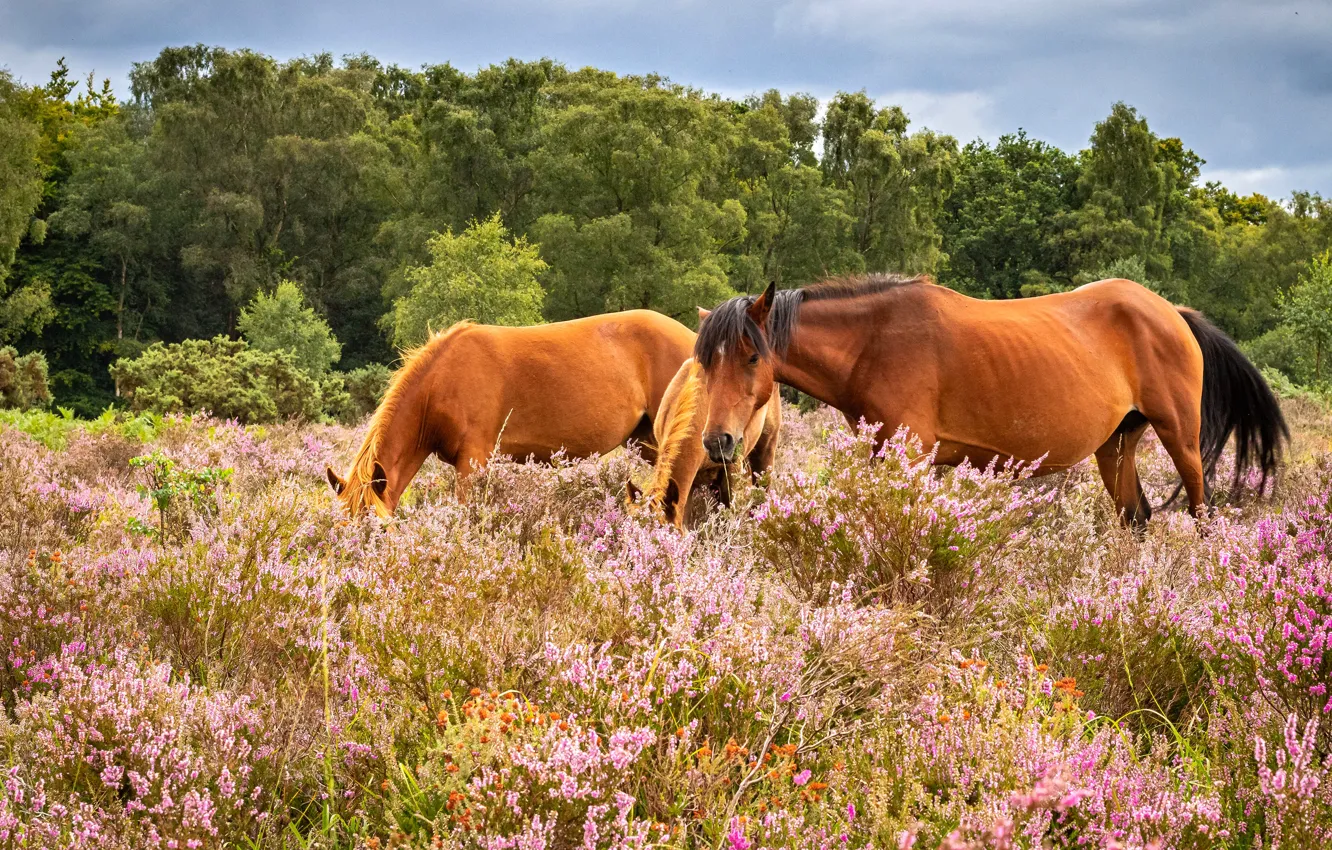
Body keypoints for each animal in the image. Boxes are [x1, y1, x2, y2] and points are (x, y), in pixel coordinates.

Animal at [697, 273, 1289, 530]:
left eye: (751, 356)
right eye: (706, 361)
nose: (717, 441)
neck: (874, 341)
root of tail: (1172, 312)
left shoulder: (913, 456)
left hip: (1180, 439)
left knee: (1200, 508)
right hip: (1117, 446)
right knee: (1134, 517)